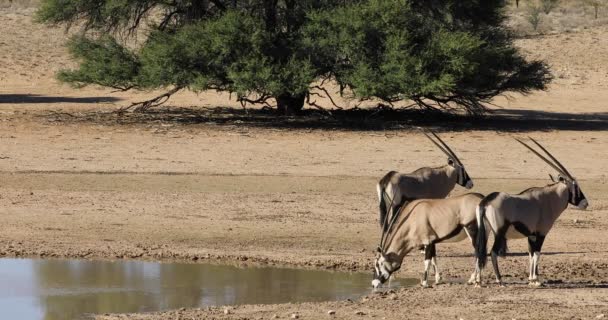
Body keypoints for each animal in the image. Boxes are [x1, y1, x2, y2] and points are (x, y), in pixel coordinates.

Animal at [476, 136, 588, 286]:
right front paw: (536, 280)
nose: (585, 203)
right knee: (493, 252)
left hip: (486, 231)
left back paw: (477, 281)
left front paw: (531, 279)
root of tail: (486, 201)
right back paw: (500, 280)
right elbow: (537, 254)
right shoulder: (541, 233)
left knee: (479, 251)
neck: (549, 198)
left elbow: (530, 254)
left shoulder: (531, 235)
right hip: (499, 232)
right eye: (575, 186)